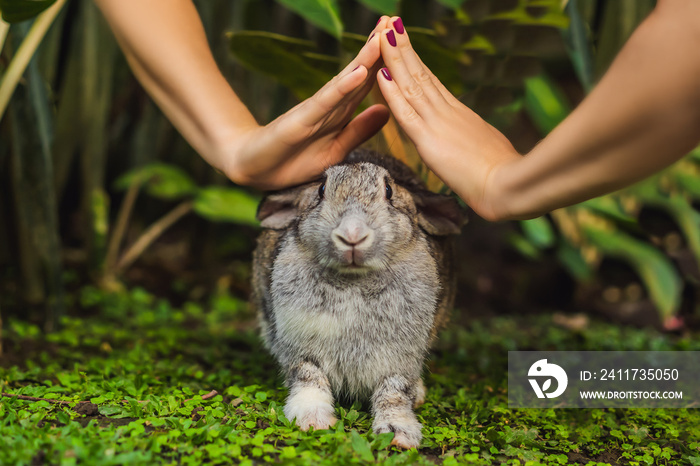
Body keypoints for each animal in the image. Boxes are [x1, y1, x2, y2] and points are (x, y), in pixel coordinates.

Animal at [249, 149, 468, 448]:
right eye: (321, 190)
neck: (354, 279)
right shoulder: (299, 347)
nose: (352, 235)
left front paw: (397, 434)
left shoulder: (399, 358)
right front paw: (313, 421)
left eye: (389, 191)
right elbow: (308, 377)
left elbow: (393, 392)